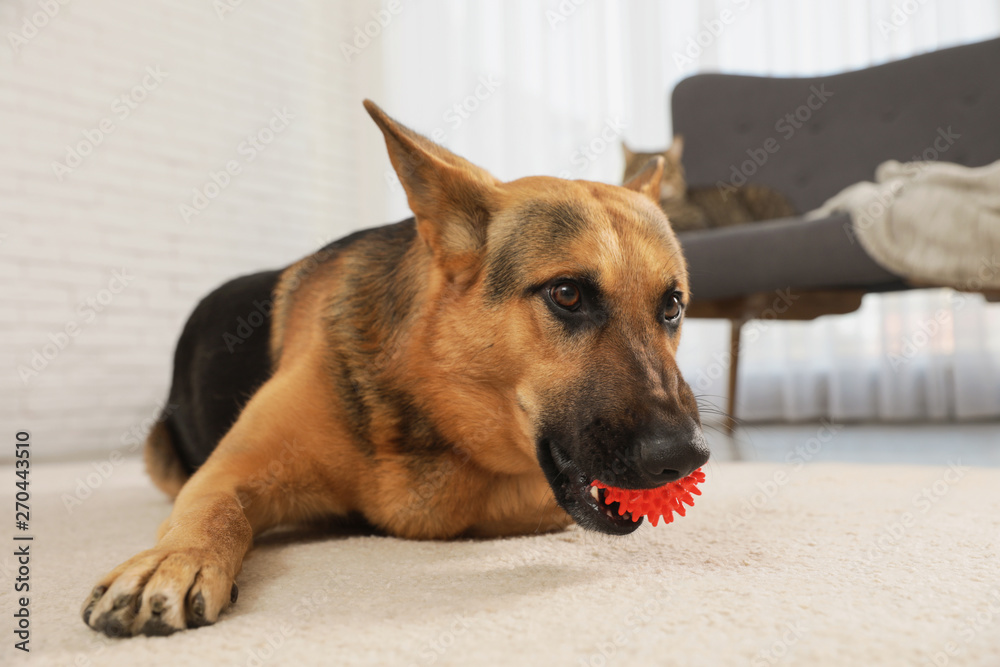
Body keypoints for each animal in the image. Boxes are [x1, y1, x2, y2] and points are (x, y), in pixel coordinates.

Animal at [80, 102, 712, 640]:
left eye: (672, 307)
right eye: (567, 294)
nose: (683, 457)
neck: (429, 397)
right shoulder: (226, 472)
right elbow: (215, 512)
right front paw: (176, 559)